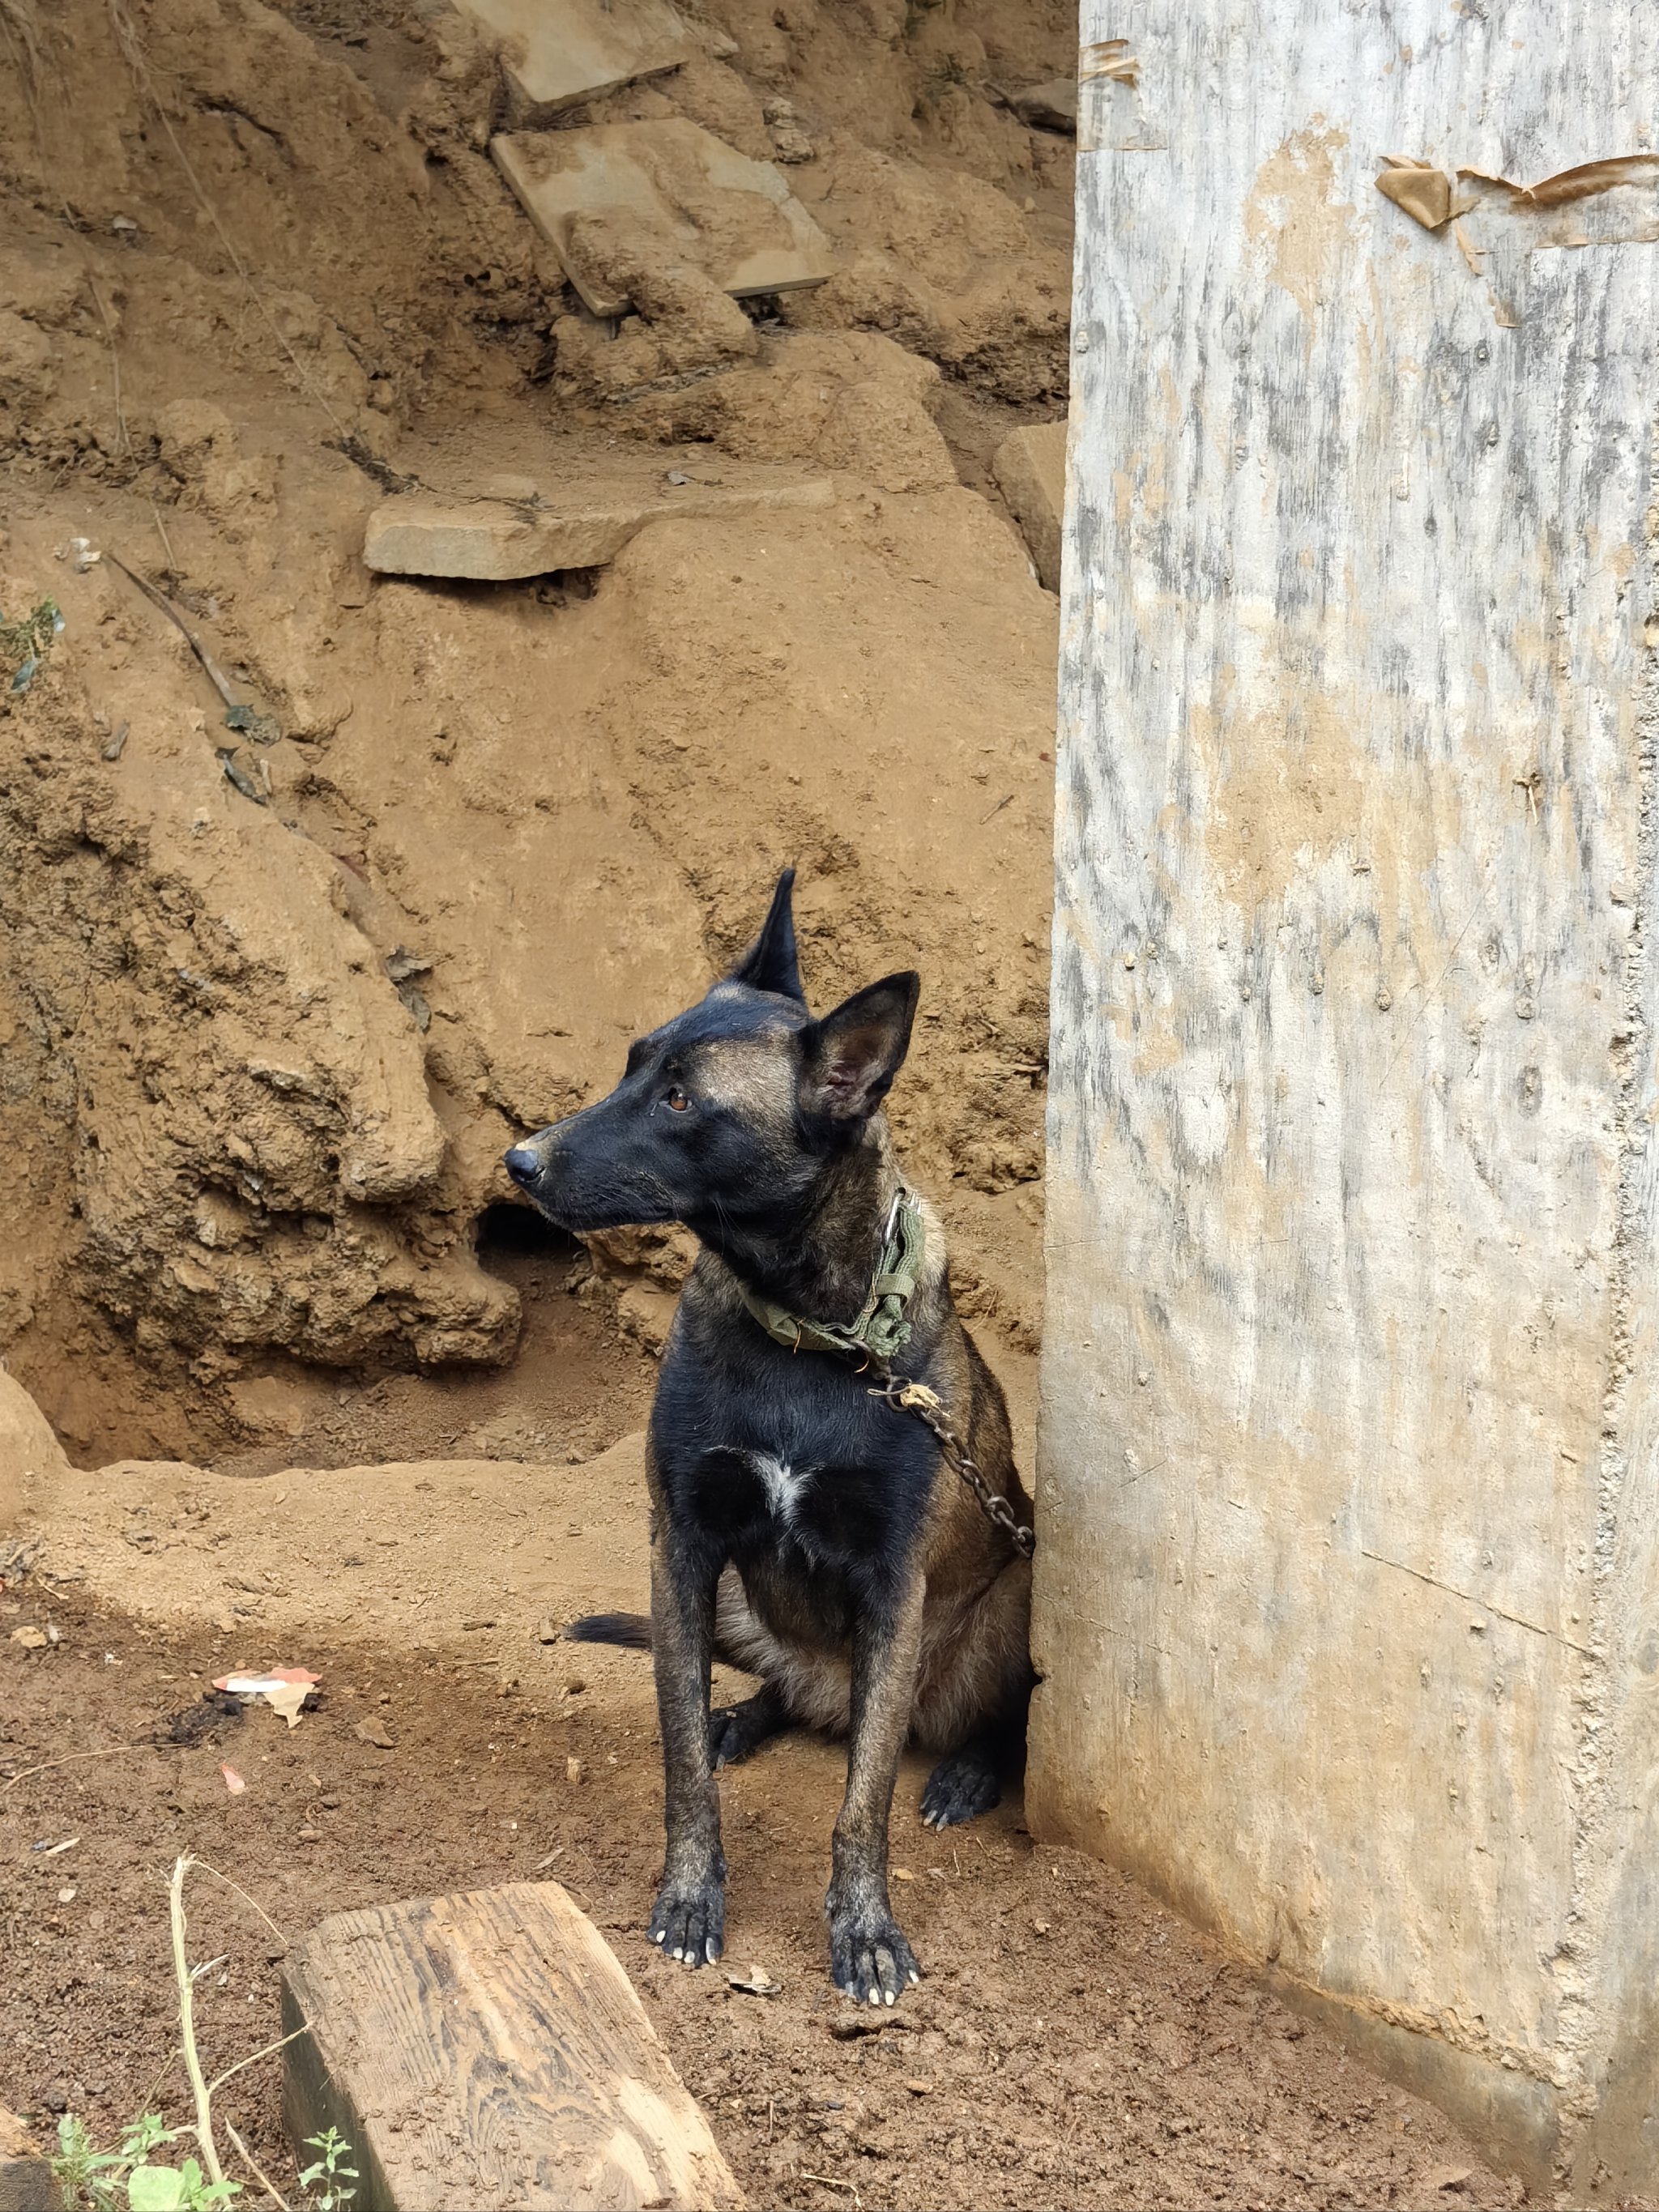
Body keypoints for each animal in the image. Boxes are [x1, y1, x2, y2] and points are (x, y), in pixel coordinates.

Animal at [500, 872, 1034, 2017]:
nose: (518, 1161)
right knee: (763, 1689)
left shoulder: (894, 1587)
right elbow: (681, 1763)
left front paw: (864, 1931)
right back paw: (746, 1714)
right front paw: (690, 1896)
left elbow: (863, 1799)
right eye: (632, 1063)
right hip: (747, 1609)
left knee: (977, 1715)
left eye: (681, 1101)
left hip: (1009, 1592)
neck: (809, 1336)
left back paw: (967, 1768)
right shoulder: (682, 1546)